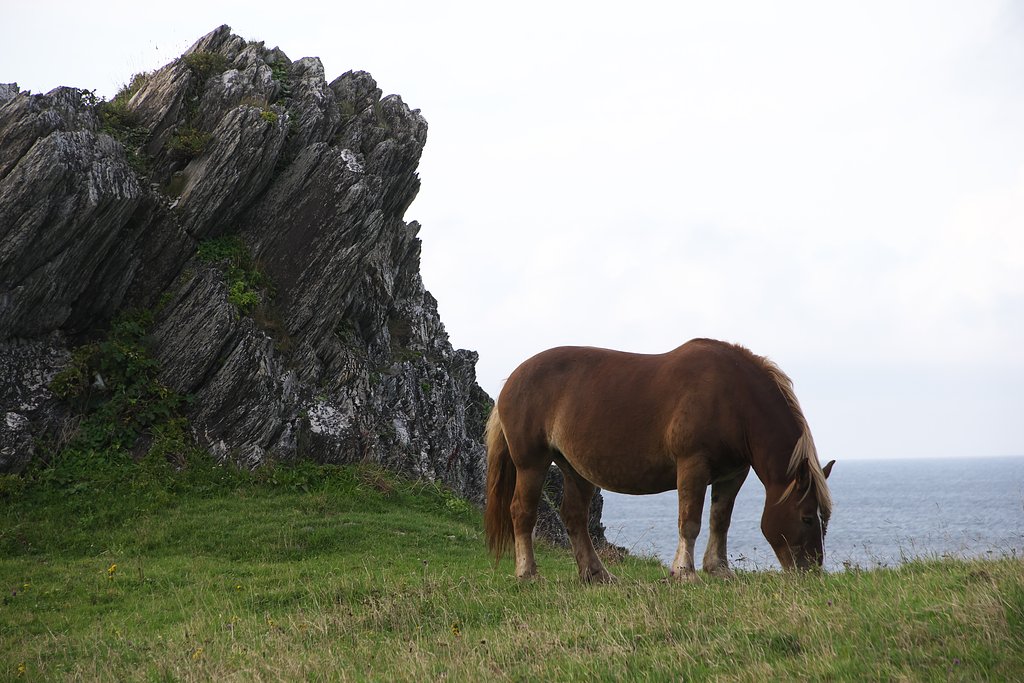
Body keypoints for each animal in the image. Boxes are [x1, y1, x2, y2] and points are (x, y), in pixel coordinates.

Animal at [484, 338, 835, 582]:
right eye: (806, 518)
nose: (811, 572)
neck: (732, 397)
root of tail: (511, 380)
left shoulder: (732, 474)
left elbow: (720, 520)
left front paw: (718, 569)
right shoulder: (693, 464)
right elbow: (690, 521)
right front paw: (685, 572)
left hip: (574, 468)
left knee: (574, 517)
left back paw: (597, 575)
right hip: (532, 464)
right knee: (522, 513)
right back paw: (528, 573)